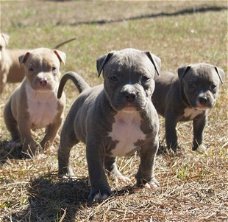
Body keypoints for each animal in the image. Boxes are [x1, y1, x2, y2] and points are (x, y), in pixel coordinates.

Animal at [57, 48, 160, 201]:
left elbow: (148, 163)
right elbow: (96, 170)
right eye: (114, 77)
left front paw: (147, 181)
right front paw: (100, 191)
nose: (130, 93)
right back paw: (64, 174)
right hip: (70, 133)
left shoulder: (151, 143)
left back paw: (117, 176)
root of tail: (86, 90)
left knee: (109, 161)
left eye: (145, 78)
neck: (128, 115)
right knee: (64, 150)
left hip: (111, 147)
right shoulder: (95, 145)